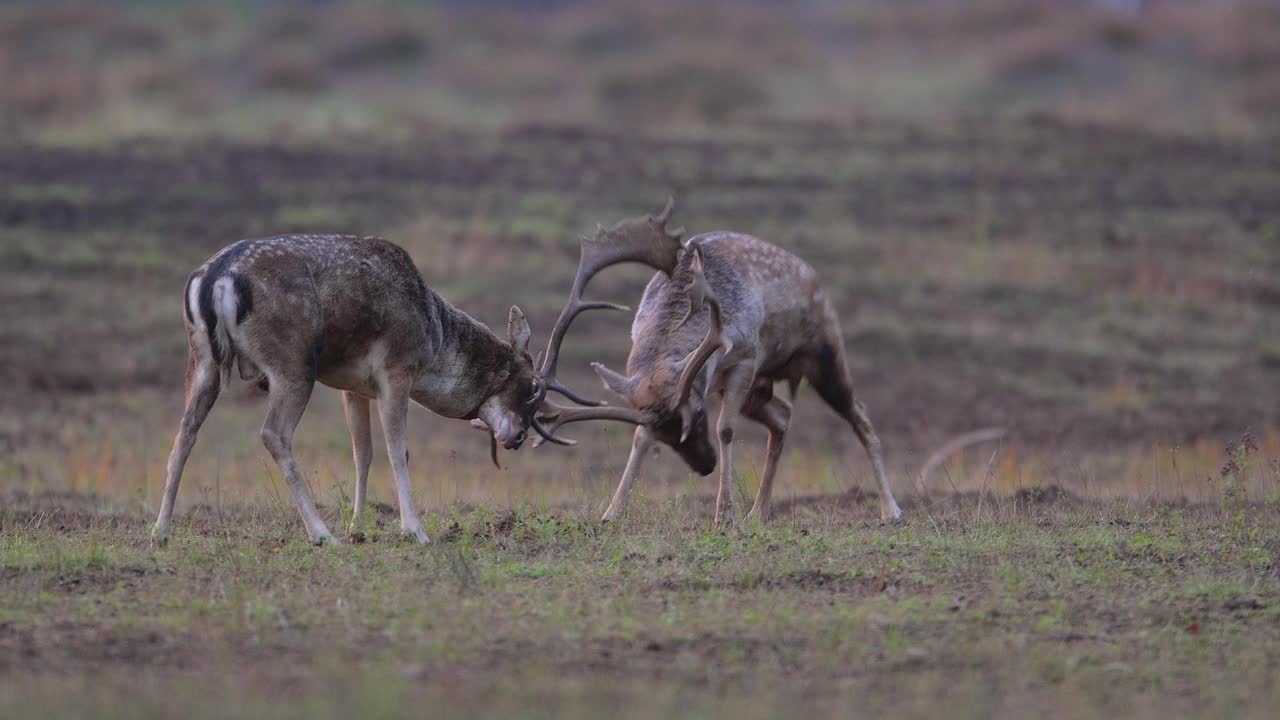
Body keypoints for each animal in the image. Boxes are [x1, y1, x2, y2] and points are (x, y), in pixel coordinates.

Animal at [152, 234, 568, 543]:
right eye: (532, 387)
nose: (517, 438)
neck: (433, 341)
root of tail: (216, 279)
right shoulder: (396, 370)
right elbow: (398, 450)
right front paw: (414, 530)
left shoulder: (352, 387)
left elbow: (362, 453)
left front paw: (359, 529)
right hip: (292, 364)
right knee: (273, 433)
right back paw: (321, 535)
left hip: (202, 358)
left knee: (185, 431)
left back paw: (161, 532)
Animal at [529, 198, 901, 525]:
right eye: (663, 436)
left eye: (696, 415)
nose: (705, 465)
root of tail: (814, 276)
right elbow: (637, 438)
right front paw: (611, 513)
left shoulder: (746, 359)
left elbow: (725, 429)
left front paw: (724, 514)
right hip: (760, 390)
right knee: (783, 415)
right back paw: (758, 513)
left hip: (824, 354)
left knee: (861, 417)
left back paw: (891, 509)